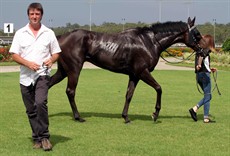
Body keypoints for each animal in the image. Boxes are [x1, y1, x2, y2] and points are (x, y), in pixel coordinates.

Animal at [48, 17, 208, 123]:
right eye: (198, 35)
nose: (205, 51)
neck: (149, 42)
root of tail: (61, 37)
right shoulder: (142, 71)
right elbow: (159, 88)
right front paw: (155, 114)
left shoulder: (134, 75)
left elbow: (129, 95)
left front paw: (125, 117)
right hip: (74, 70)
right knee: (70, 91)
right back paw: (78, 117)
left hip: (63, 71)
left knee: (48, 84)